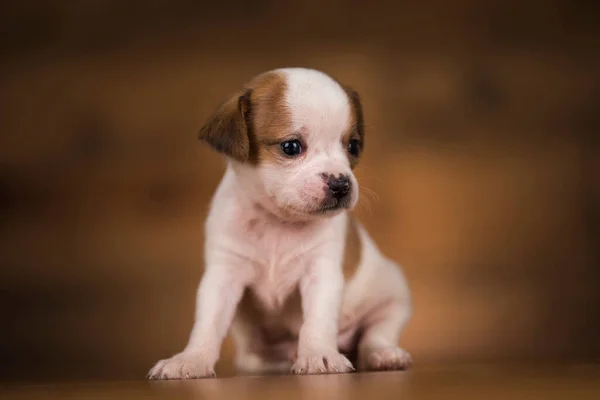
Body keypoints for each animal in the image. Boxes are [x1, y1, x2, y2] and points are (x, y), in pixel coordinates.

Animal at [149, 68, 412, 378]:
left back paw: (384, 355)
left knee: (375, 335)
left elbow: (317, 321)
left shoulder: (321, 274)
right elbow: (208, 324)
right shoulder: (223, 276)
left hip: (393, 297)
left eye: (353, 146)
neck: (277, 221)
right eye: (291, 147)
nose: (341, 184)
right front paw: (191, 359)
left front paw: (319, 354)